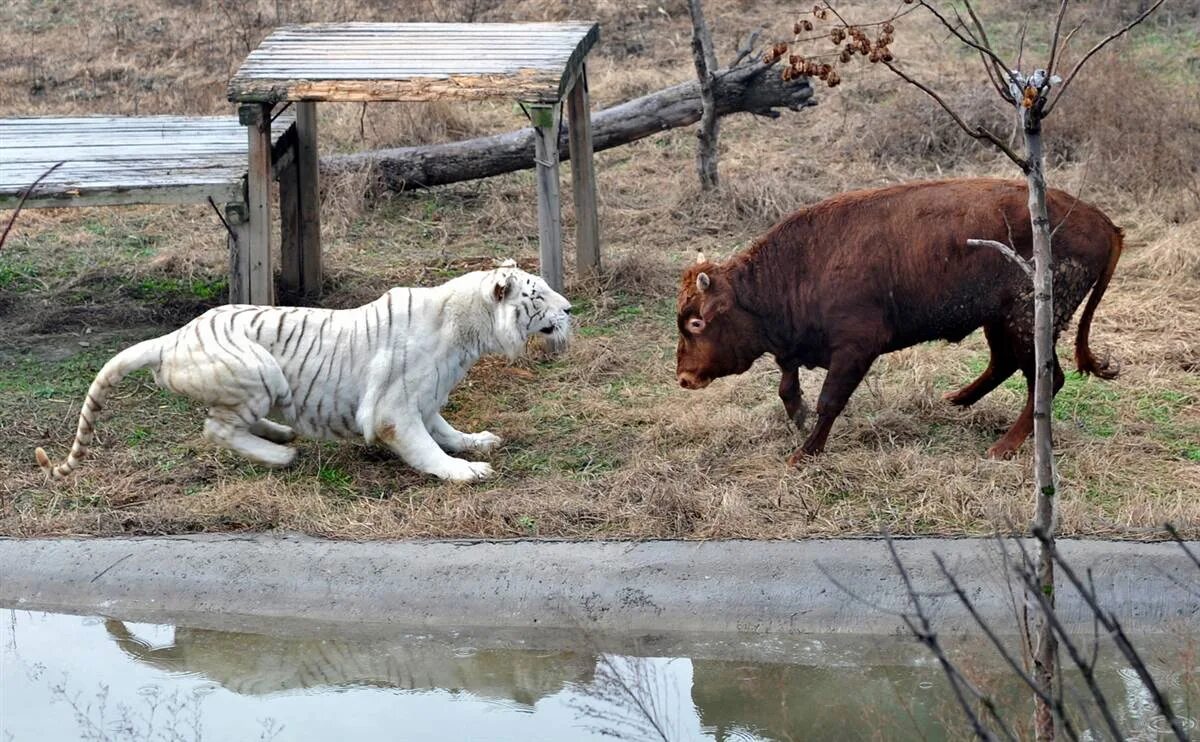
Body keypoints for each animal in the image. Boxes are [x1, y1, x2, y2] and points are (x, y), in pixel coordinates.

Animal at [30, 260, 568, 480]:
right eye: (538, 295)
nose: (570, 309)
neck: (468, 331)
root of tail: (174, 336)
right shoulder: (395, 407)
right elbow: (425, 448)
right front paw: (466, 472)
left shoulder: (426, 397)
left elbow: (446, 431)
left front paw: (477, 443)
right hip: (257, 371)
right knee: (215, 429)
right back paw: (280, 455)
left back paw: (279, 433)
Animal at [676, 176, 1123, 458]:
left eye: (696, 322)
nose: (684, 377)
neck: (798, 266)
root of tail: (1104, 223)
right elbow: (788, 384)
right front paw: (798, 420)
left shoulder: (855, 348)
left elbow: (829, 401)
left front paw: (803, 454)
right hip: (998, 321)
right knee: (1003, 363)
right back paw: (956, 399)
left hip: (1027, 321)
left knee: (1046, 379)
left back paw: (1003, 447)